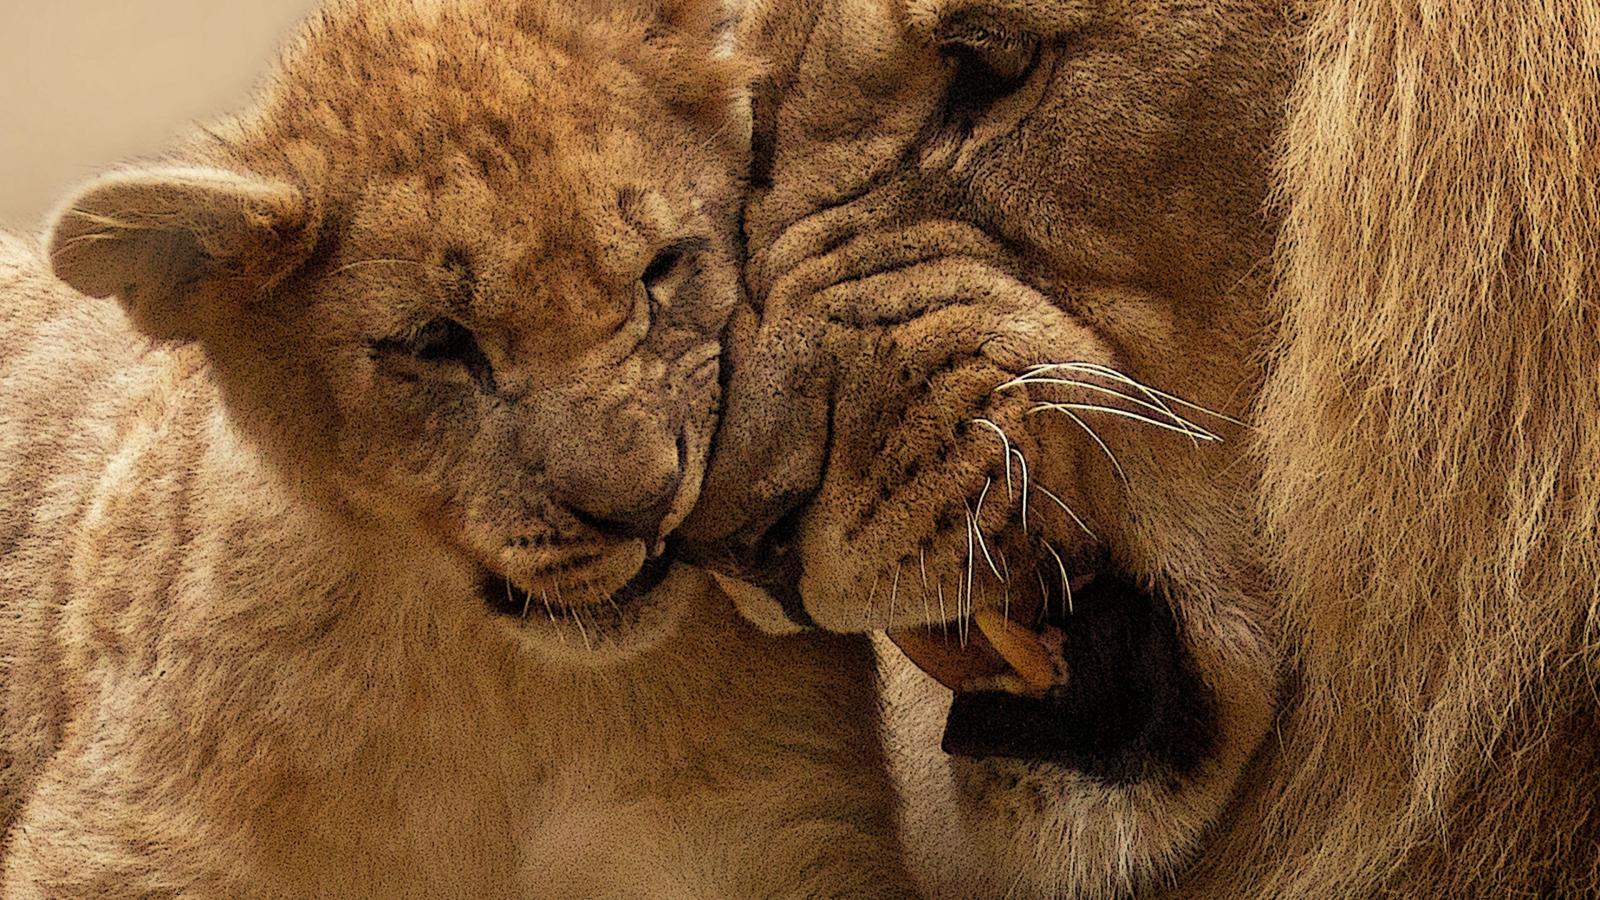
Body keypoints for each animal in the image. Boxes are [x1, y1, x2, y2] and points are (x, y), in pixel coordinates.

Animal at [0, 0, 915, 896]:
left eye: (662, 268)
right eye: (436, 342)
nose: (648, 506)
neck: (512, 694)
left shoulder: (780, 829)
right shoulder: (126, 844)